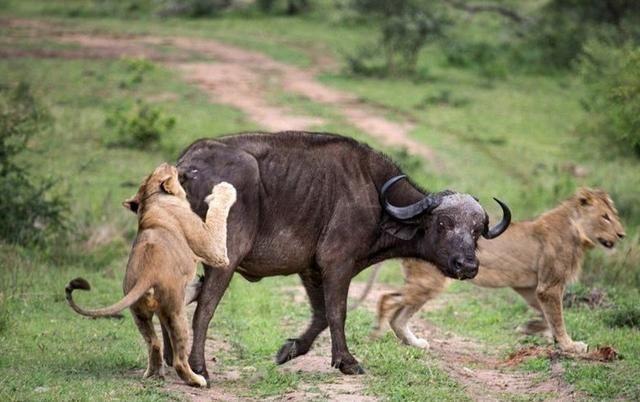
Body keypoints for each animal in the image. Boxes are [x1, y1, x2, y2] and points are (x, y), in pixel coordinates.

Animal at [65, 163, 238, 386]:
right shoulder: (213, 249)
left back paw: (153, 373)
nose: (174, 164)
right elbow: (217, 215)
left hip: (139, 313)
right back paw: (197, 380)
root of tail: (147, 275)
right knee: (179, 360)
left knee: (154, 343)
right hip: (175, 313)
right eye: (169, 169)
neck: (152, 199)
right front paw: (224, 190)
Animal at [171, 132, 510, 376]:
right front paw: (347, 361)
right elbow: (338, 312)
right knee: (204, 308)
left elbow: (320, 314)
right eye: (443, 223)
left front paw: (289, 350)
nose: (467, 265)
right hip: (223, 260)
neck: (377, 197)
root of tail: (186, 166)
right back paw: (198, 368)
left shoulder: (310, 269)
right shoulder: (337, 264)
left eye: (477, 231)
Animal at [376, 187, 624, 354]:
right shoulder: (549, 286)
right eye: (605, 217)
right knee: (387, 300)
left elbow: (547, 316)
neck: (577, 232)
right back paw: (376, 334)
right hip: (430, 282)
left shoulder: (530, 287)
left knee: (398, 316)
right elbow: (558, 317)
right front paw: (569, 345)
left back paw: (414, 343)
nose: (622, 235)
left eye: (613, 215)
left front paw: (531, 328)